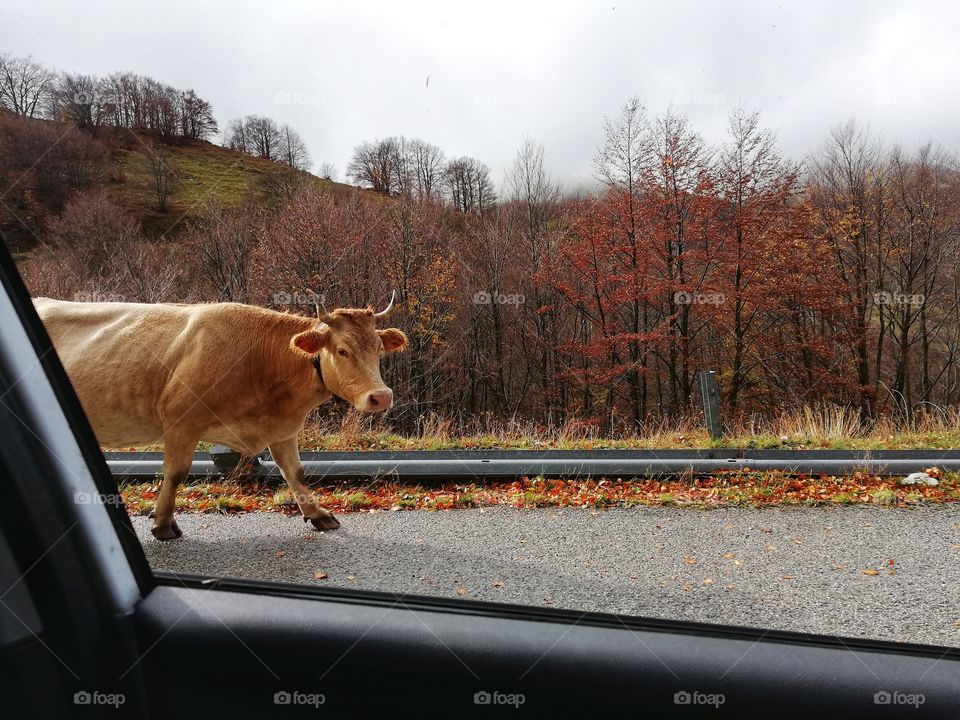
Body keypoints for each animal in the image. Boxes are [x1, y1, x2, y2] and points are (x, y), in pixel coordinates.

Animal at [33, 294, 408, 540]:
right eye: (342, 350)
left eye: (378, 348)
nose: (381, 396)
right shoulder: (181, 422)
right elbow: (175, 473)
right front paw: (163, 523)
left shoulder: (282, 428)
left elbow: (295, 471)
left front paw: (317, 514)